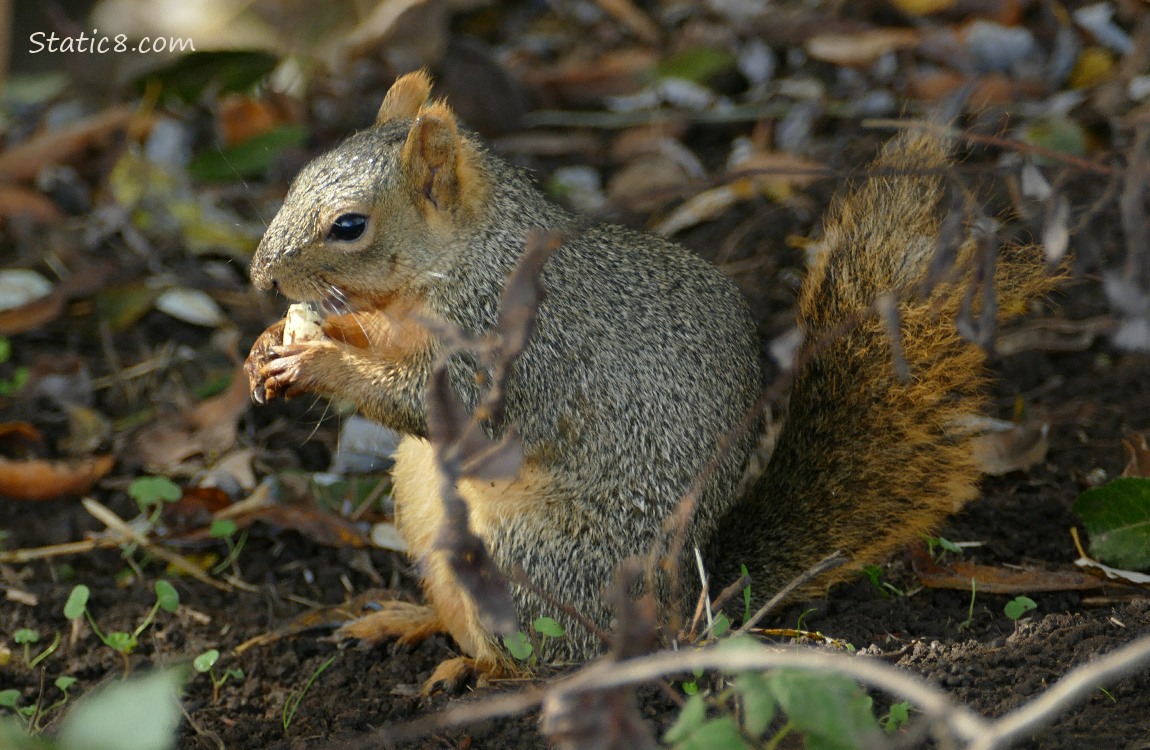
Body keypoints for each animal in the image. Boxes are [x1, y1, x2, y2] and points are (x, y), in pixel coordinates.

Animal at [245, 70, 1057, 686]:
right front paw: (270, 344)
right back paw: (410, 621)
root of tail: (682, 611)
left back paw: (486, 672)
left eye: (349, 226)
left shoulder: (515, 344)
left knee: (554, 655)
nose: (259, 278)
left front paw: (314, 359)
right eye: (297, 180)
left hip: (523, 553)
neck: (464, 260)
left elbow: (447, 406)